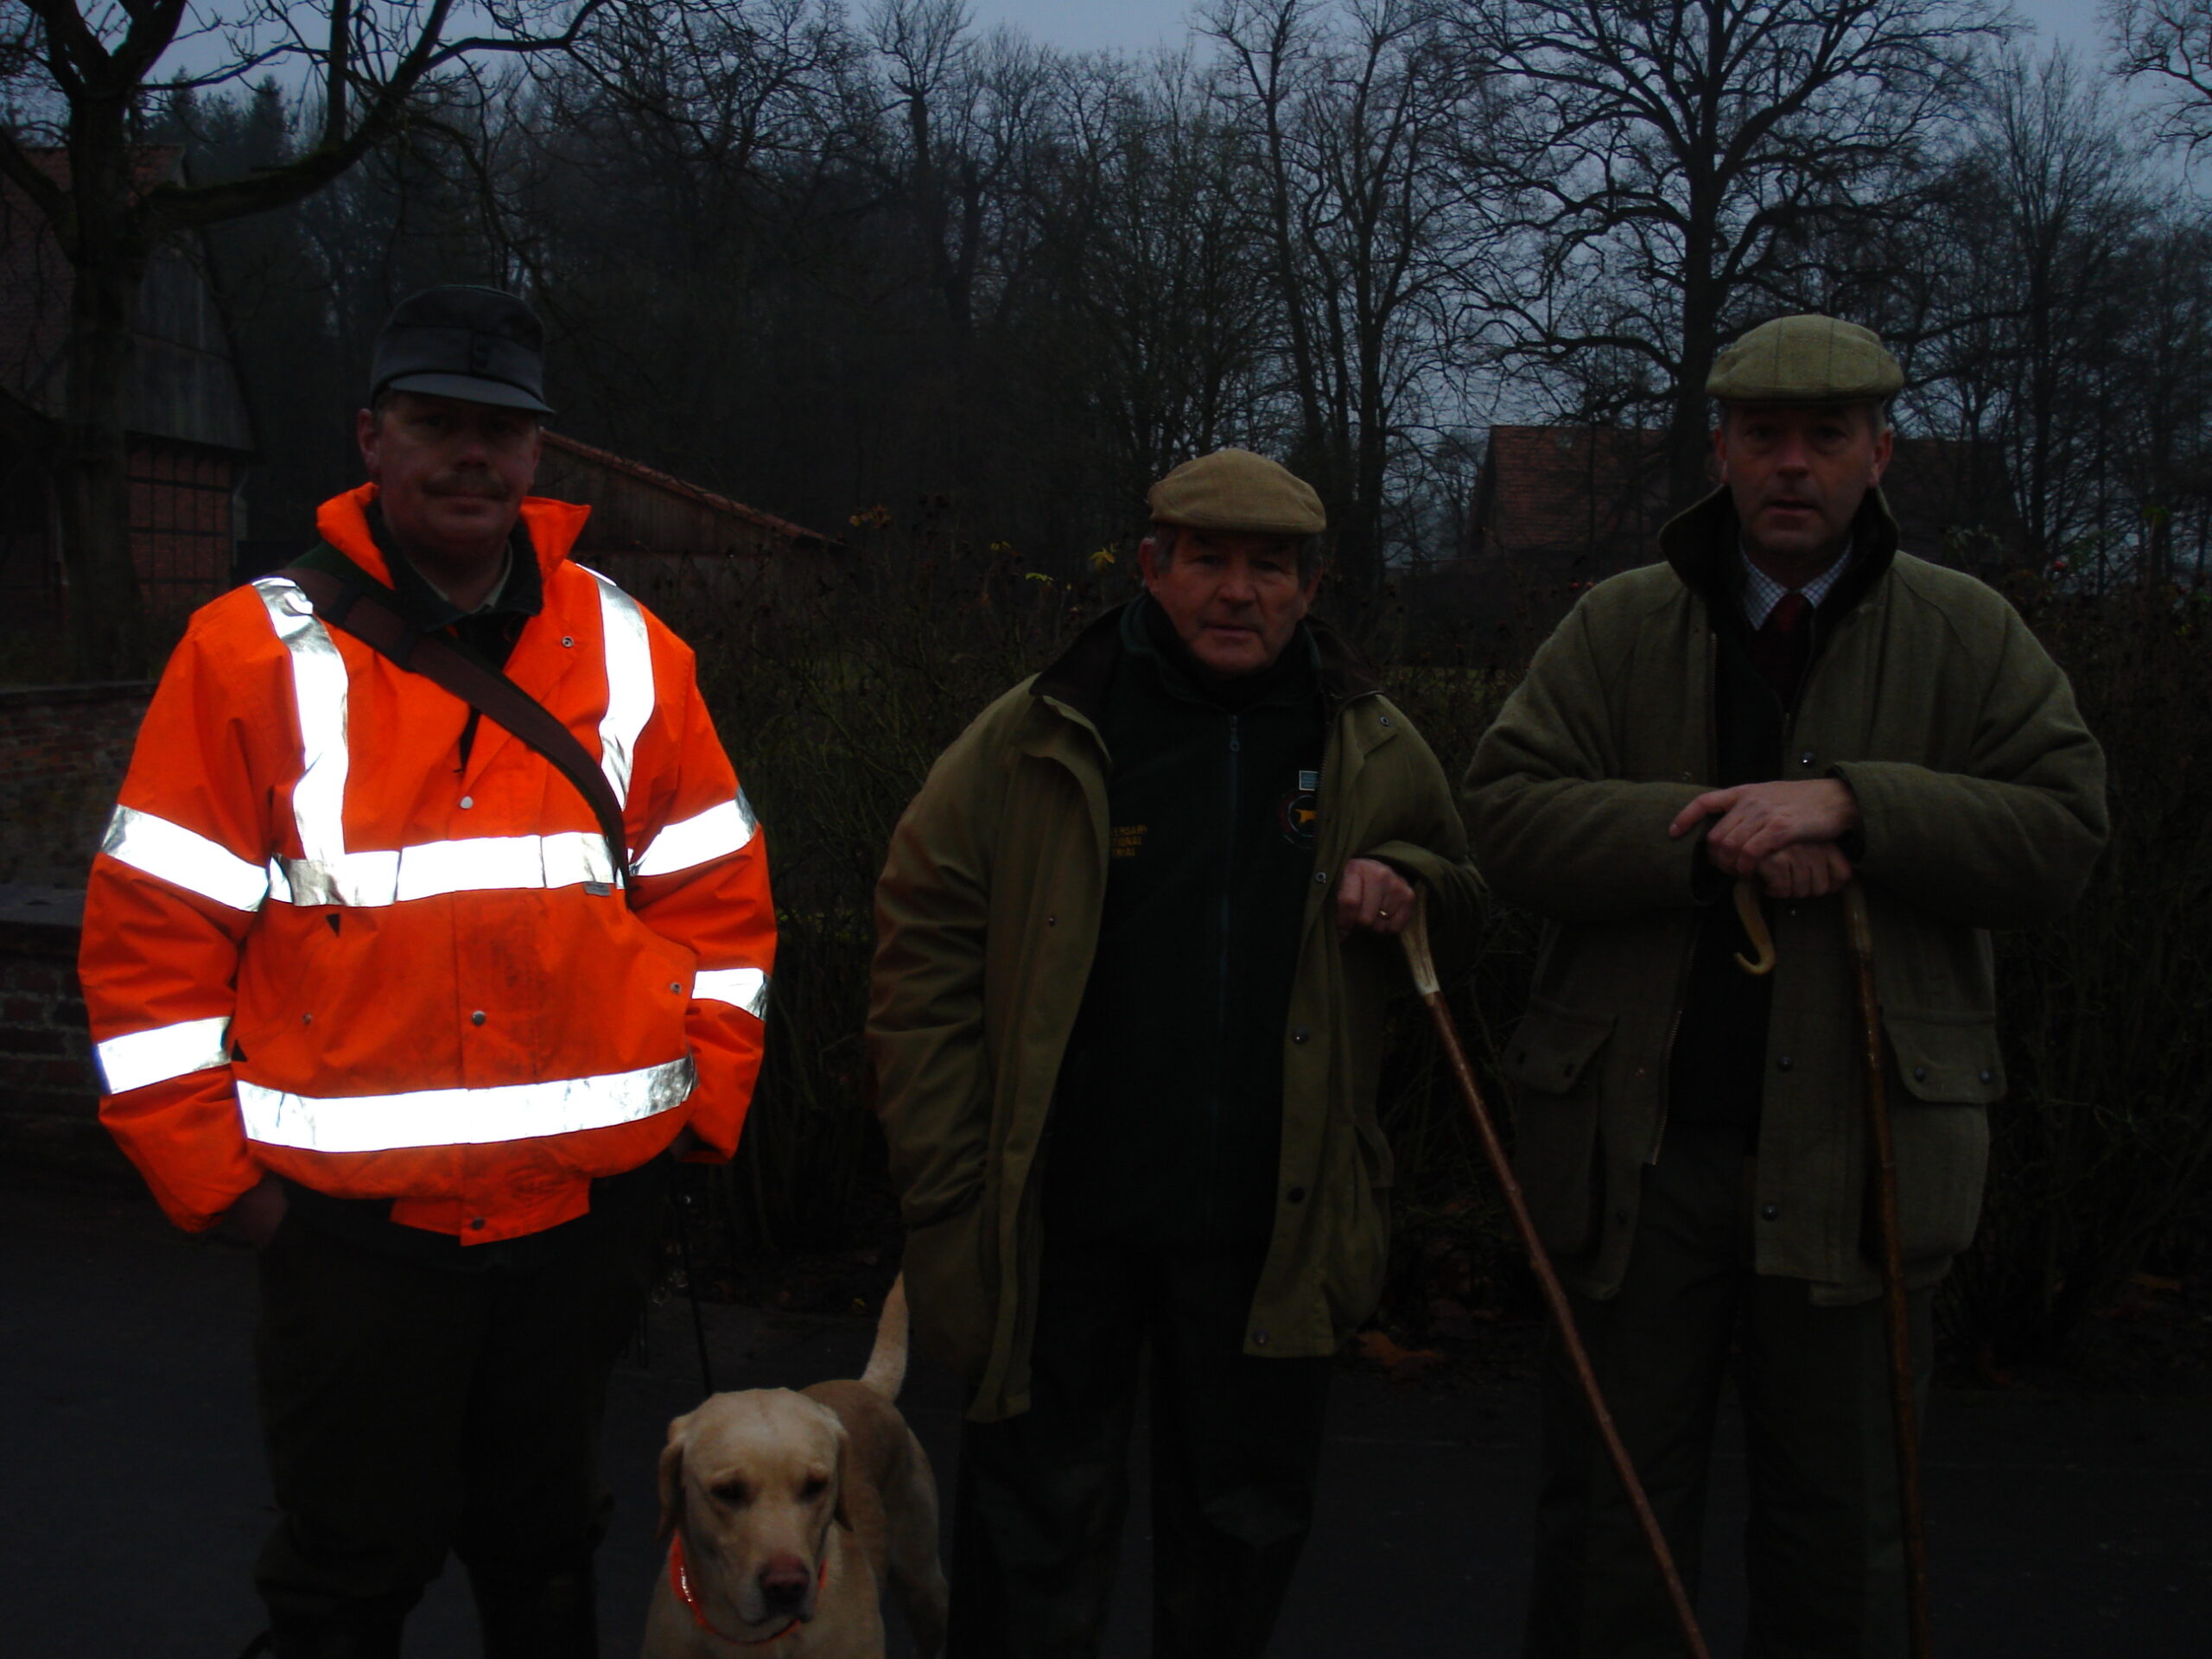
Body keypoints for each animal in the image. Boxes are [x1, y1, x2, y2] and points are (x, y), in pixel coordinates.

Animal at [643, 1276, 948, 1658]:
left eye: (816, 1486)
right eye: (728, 1491)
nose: (787, 1586)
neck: (752, 1640)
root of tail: (867, 1386)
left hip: (924, 1585)